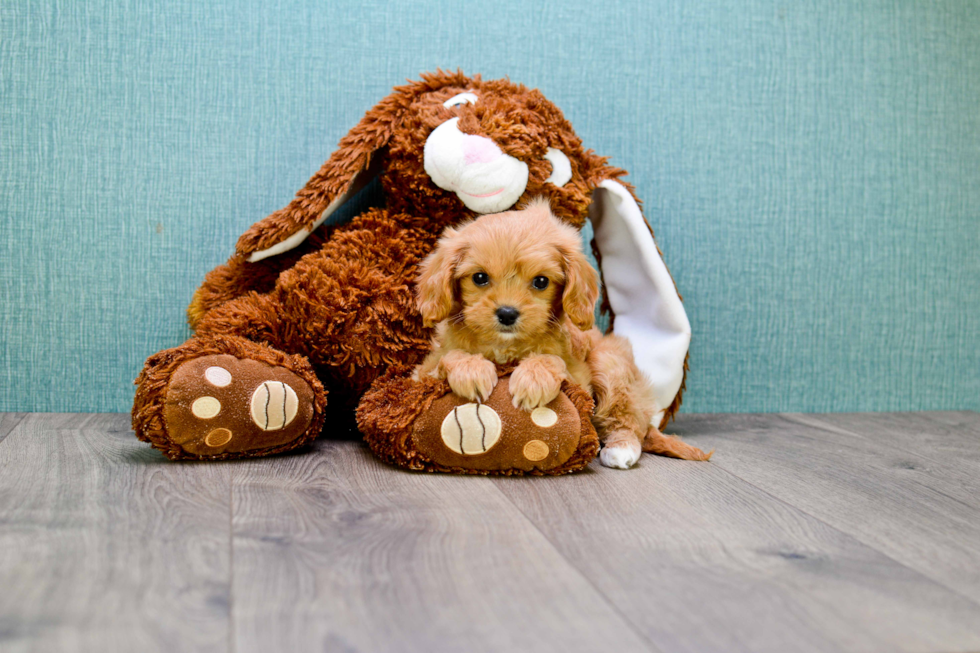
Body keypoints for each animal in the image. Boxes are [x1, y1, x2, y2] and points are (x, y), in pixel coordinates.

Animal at [416, 200, 712, 468]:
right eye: (479, 278)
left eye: (541, 281)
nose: (508, 313)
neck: (505, 348)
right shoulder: (422, 373)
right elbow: (451, 356)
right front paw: (472, 371)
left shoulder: (579, 381)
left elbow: (552, 360)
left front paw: (533, 379)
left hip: (610, 365)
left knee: (629, 421)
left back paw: (621, 449)